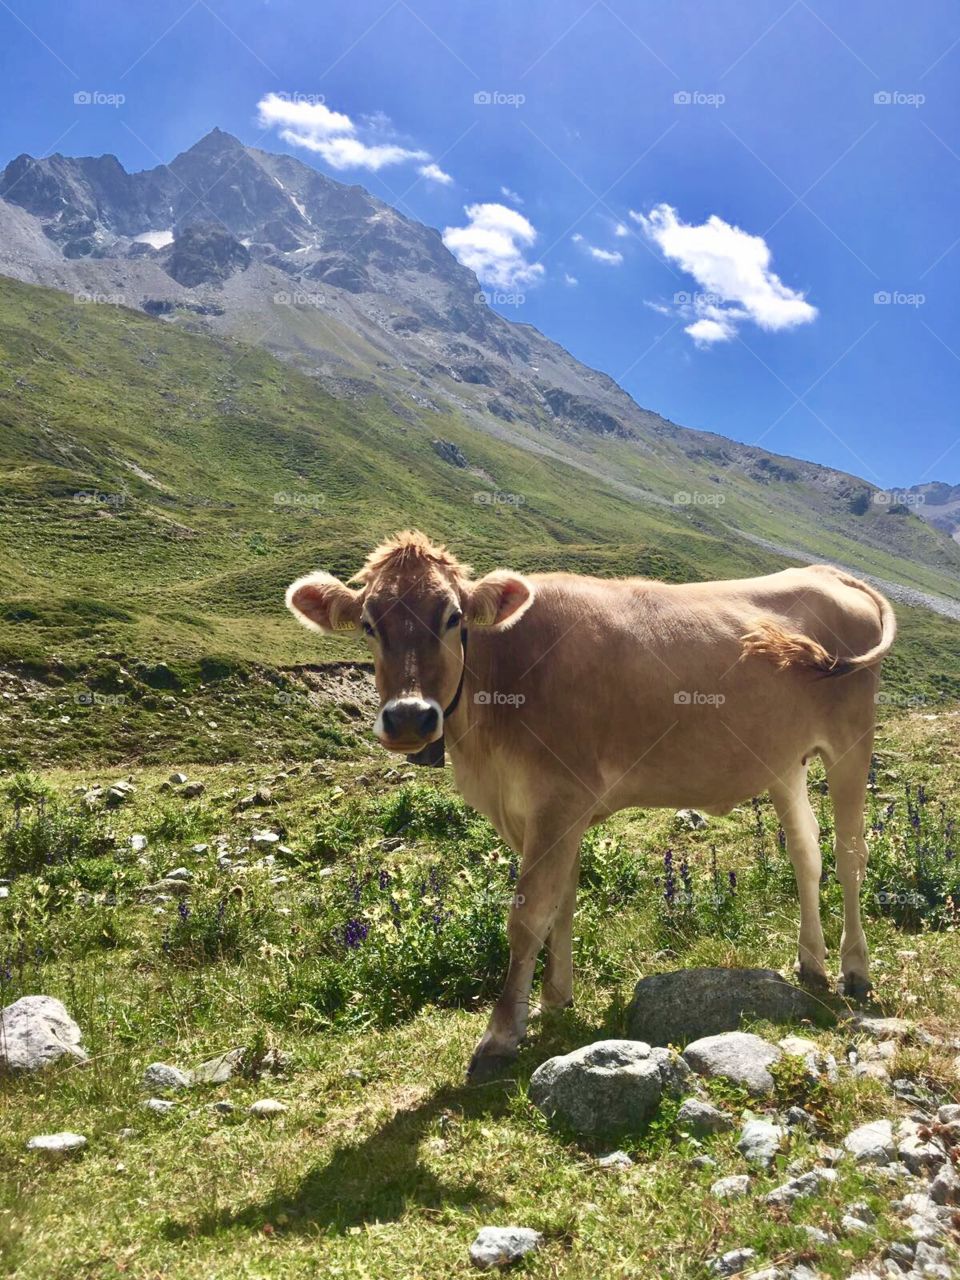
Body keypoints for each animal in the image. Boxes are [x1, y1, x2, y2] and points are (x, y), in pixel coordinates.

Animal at [284, 529, 896, 1080]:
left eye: (454, 618)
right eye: (369, 624)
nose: (410, 718)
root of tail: (826, 573)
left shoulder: (559, 799)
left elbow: (528, 912)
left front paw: (501, 1034)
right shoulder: (549, 811)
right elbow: (563, 900)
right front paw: (555, 997)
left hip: (851, 741)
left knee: (850, 855)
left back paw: (855, 969)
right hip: (783, 760)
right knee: (806, 853)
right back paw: (811, 963)